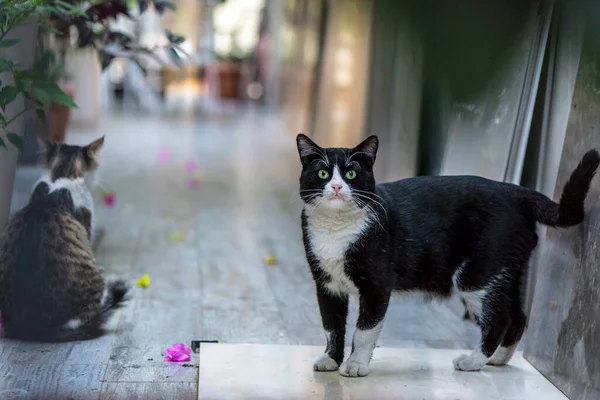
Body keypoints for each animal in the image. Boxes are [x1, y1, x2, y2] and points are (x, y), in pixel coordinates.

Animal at [296, 133, 600, 376]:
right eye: (322, 173)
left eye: (352, 174)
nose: (337, 187)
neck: (336, 231)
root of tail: (514, 191)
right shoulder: (326, 284)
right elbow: (331, 325)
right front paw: (331, 360)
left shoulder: (377, 286)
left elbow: (364, 330)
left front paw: (356, 365)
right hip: (508, 269)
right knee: (518, 316)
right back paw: (498, 359)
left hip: (479, 273)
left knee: (500, 318)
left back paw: (474, 361)